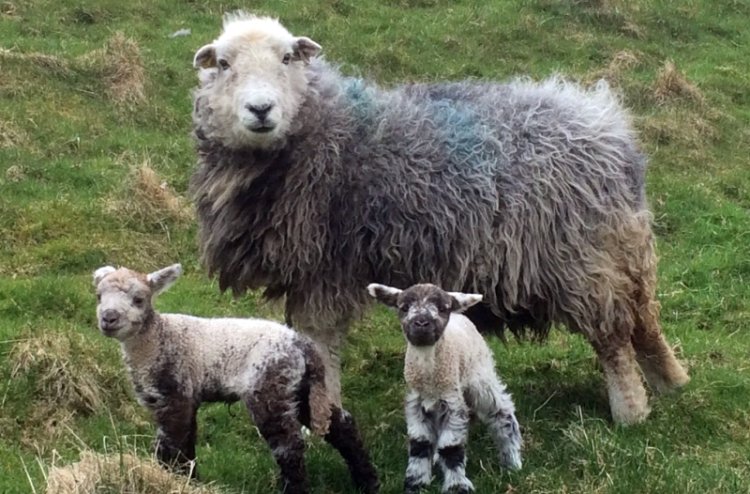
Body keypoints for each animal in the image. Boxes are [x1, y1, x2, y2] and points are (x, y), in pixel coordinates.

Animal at [91, 264, 378, 494]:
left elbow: (172, 446)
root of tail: (302, 346)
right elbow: (186, 443)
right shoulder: (184, 397)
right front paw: (191, 481)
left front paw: (171, 480)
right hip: (300, 388)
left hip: (269, 386)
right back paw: (367, 482)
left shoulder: (174, 395)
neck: (157, 338)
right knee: (341, 425)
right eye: (99, 296)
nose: (108, 319)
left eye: (139, 299)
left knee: (289, 445)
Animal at [191, 10, 692, 424]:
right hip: (621, 249)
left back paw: (631, 412)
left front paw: (321, 418)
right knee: (645, 317)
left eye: (288, 57)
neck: (326, 129)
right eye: (224, 64)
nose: (260, 109)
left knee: (613, 339)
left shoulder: (324, 269)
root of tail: (612, 132)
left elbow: (319, 343)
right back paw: (672, 381)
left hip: (582, 259)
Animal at [370, 282, 524, 494]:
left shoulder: (452, 401)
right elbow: (420, 443)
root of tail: (461, 315)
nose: (421, 323)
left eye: (443, 308)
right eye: (404, 307)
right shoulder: (416, 403)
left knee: (502, 412)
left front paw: (457, 486)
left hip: (480, 376)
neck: (429, 380)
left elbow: (451, 448)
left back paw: (512, 461)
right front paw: (415, 483)